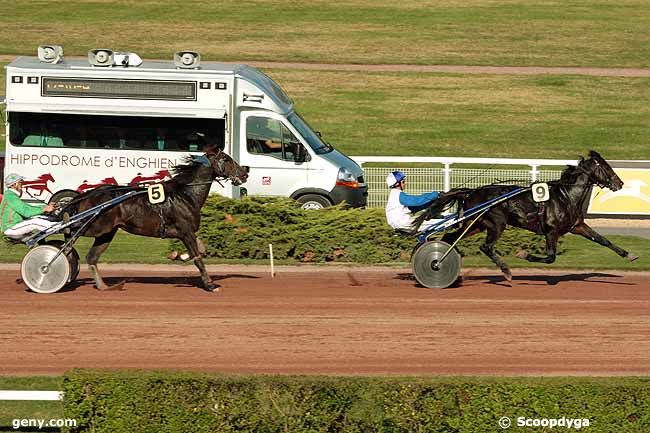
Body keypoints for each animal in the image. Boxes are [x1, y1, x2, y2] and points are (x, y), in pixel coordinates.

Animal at [61, 150, 248, 292]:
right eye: (226, 159)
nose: (245, 172)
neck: (186, 194)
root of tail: (88, 194)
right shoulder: (186, 231)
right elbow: (198, 258)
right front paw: (210, 284)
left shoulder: (186, 232)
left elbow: (200, 250)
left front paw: (178, 255)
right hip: (97, 226)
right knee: (70, 232)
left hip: (107, 233)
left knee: (91, 257)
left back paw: (103, 286)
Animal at [412, 150, 636, 280]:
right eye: (606, 167)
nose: (620, 183)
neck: (565, 196)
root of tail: (471, 192)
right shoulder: (551, 231)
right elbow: (550, 257)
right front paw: (523, 254)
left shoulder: (577, 226)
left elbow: (603, 240)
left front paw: (628, 254)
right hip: (497, 223)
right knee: (486, 246)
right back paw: (505, 271)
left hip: (475, 224)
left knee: (450, 237)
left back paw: (444, 260)